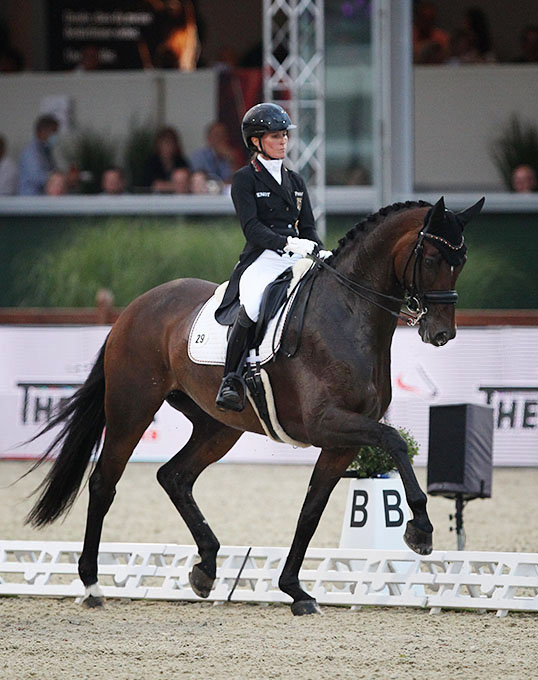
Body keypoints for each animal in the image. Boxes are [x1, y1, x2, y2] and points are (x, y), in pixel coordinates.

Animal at [26, 196, 484, 616]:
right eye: (431, 257)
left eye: (461, 260)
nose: (441, 333)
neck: (348, 313)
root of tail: (133, 309)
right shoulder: (326, 422)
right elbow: (395, 441)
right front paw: (420, 529)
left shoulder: (343, 440)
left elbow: (312, 508)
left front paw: (295, 590)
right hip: (131, 409)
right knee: (105, 481)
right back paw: (92, 585)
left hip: (218, 425)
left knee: (174, 476)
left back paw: (206, 568)